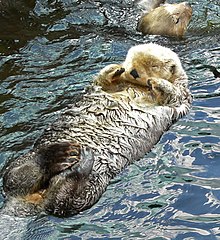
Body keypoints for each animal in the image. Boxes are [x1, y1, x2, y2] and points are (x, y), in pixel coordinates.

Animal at [1, 43, 191, 218]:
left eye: (153, 66)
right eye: (129, 60)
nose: (133, 72)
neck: (139, 87)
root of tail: (35, 201)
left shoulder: (182, 97)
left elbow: (174, 95)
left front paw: (159, 83)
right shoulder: (102, 86)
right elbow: (101, 81)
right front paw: (115, 69)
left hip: (95, 184)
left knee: (60, 203)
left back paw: (79, 164)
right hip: (29, 156)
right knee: (12, 178)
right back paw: (58, 156)